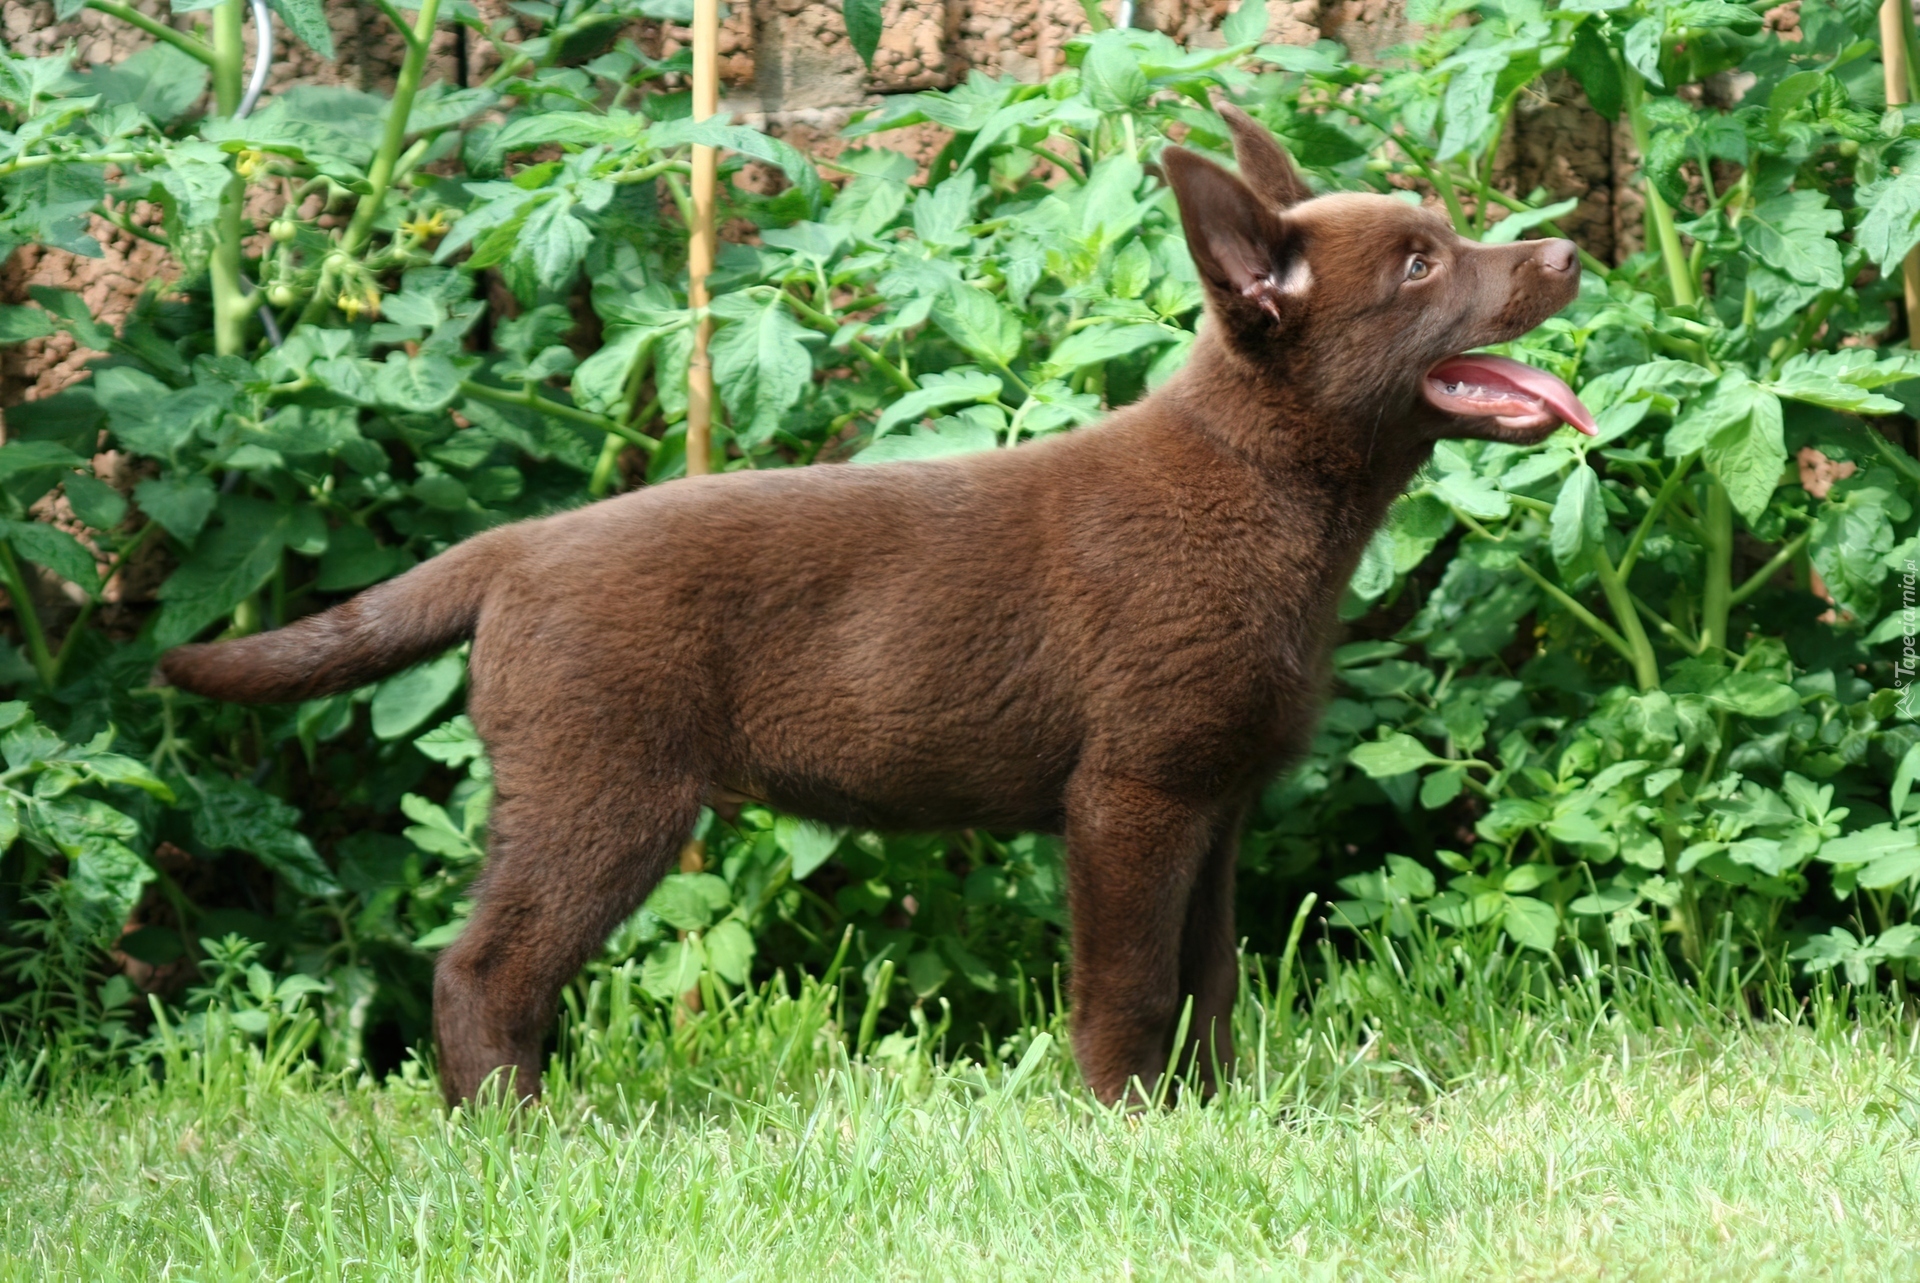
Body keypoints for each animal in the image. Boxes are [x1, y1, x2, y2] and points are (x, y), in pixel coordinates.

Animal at [161, 110, 1589, 1106]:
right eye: (1422, 264)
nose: (1570, 250)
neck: (1263, 487)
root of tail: (512, 550)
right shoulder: (1130, 797)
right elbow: (1130, 984)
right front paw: (1130, 1121)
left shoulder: (1215, 804)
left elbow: (1211, 980)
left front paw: (1222, 1114)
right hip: (602, 793)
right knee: (481, 970)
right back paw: (517, 1131)